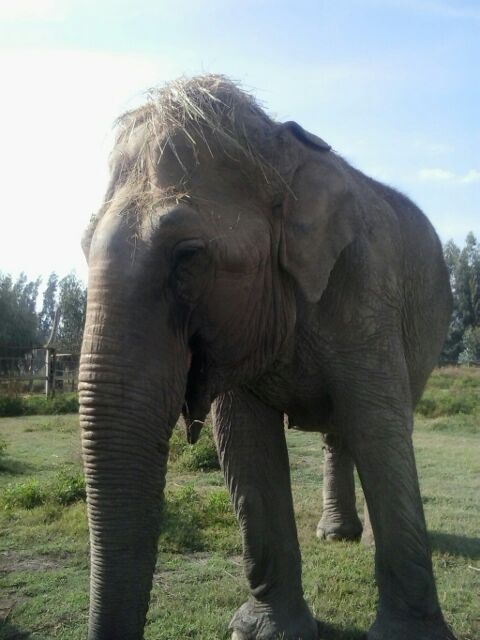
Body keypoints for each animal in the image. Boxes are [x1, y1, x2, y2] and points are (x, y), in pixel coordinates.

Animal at [79, 74, 455, 640]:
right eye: (84, 245)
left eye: (188, 256)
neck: (281, 148)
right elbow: (245, 444)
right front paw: (264, 631)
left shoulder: (365, 286)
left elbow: (378, 427)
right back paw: (335, 536)